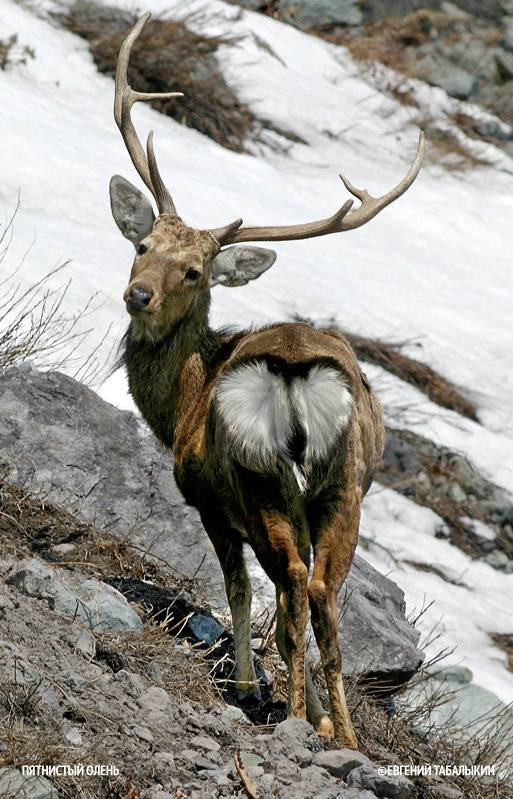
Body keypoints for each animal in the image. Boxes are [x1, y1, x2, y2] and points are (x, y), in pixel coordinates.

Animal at [109, 12, 424, 752]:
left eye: (194, 271)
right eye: (143, 245)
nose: (138, 294)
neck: (180, 402)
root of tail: (293, 375)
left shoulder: (205, 495)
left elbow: (238, 591)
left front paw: (251, 685)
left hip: (258, 480)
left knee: (293, 588)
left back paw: (292, 713)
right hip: (342, 484)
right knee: (323, 596)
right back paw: (341, 733)